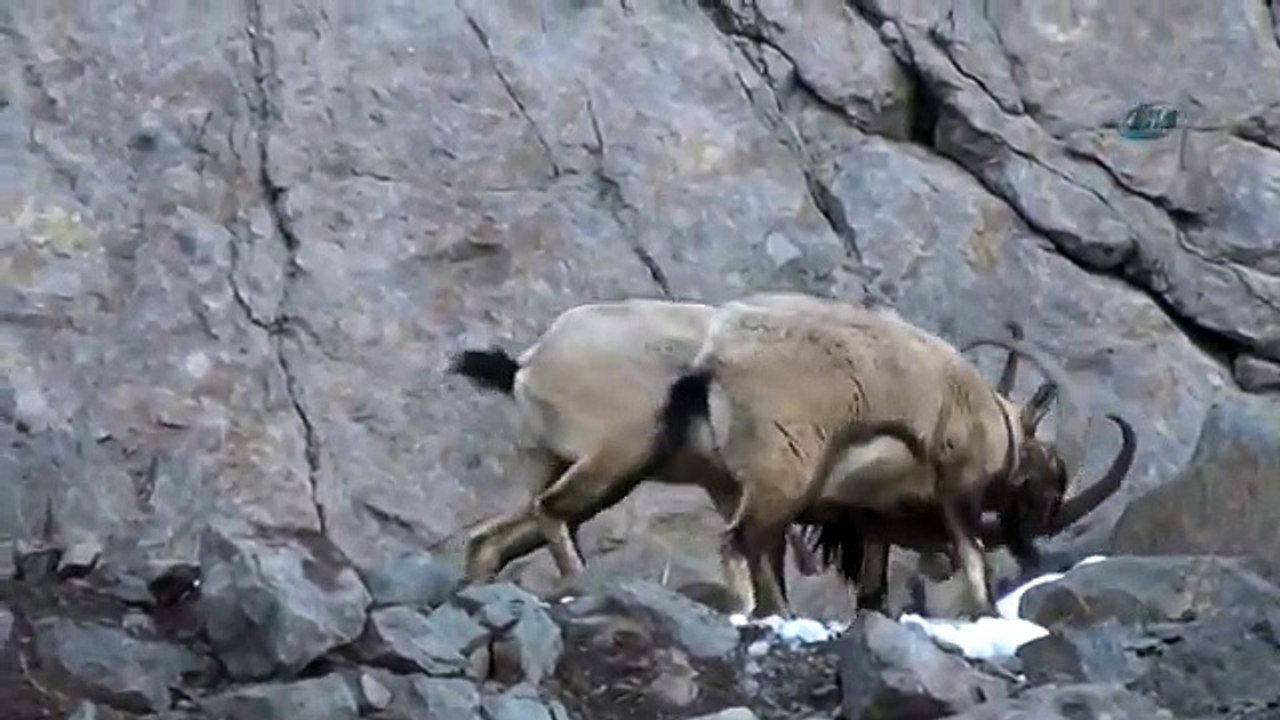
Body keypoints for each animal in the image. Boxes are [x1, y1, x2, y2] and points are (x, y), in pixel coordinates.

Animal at [659, 298, 1137, 617]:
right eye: (1050, 471)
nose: (1030, 550)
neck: (992, 420)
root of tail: (717, 362)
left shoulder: (870, 515)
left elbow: (873, 587)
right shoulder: (956, 488)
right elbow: (974, 559)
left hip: (735, 484)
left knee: (760, 551)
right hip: (783, 472)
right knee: (739, 544)